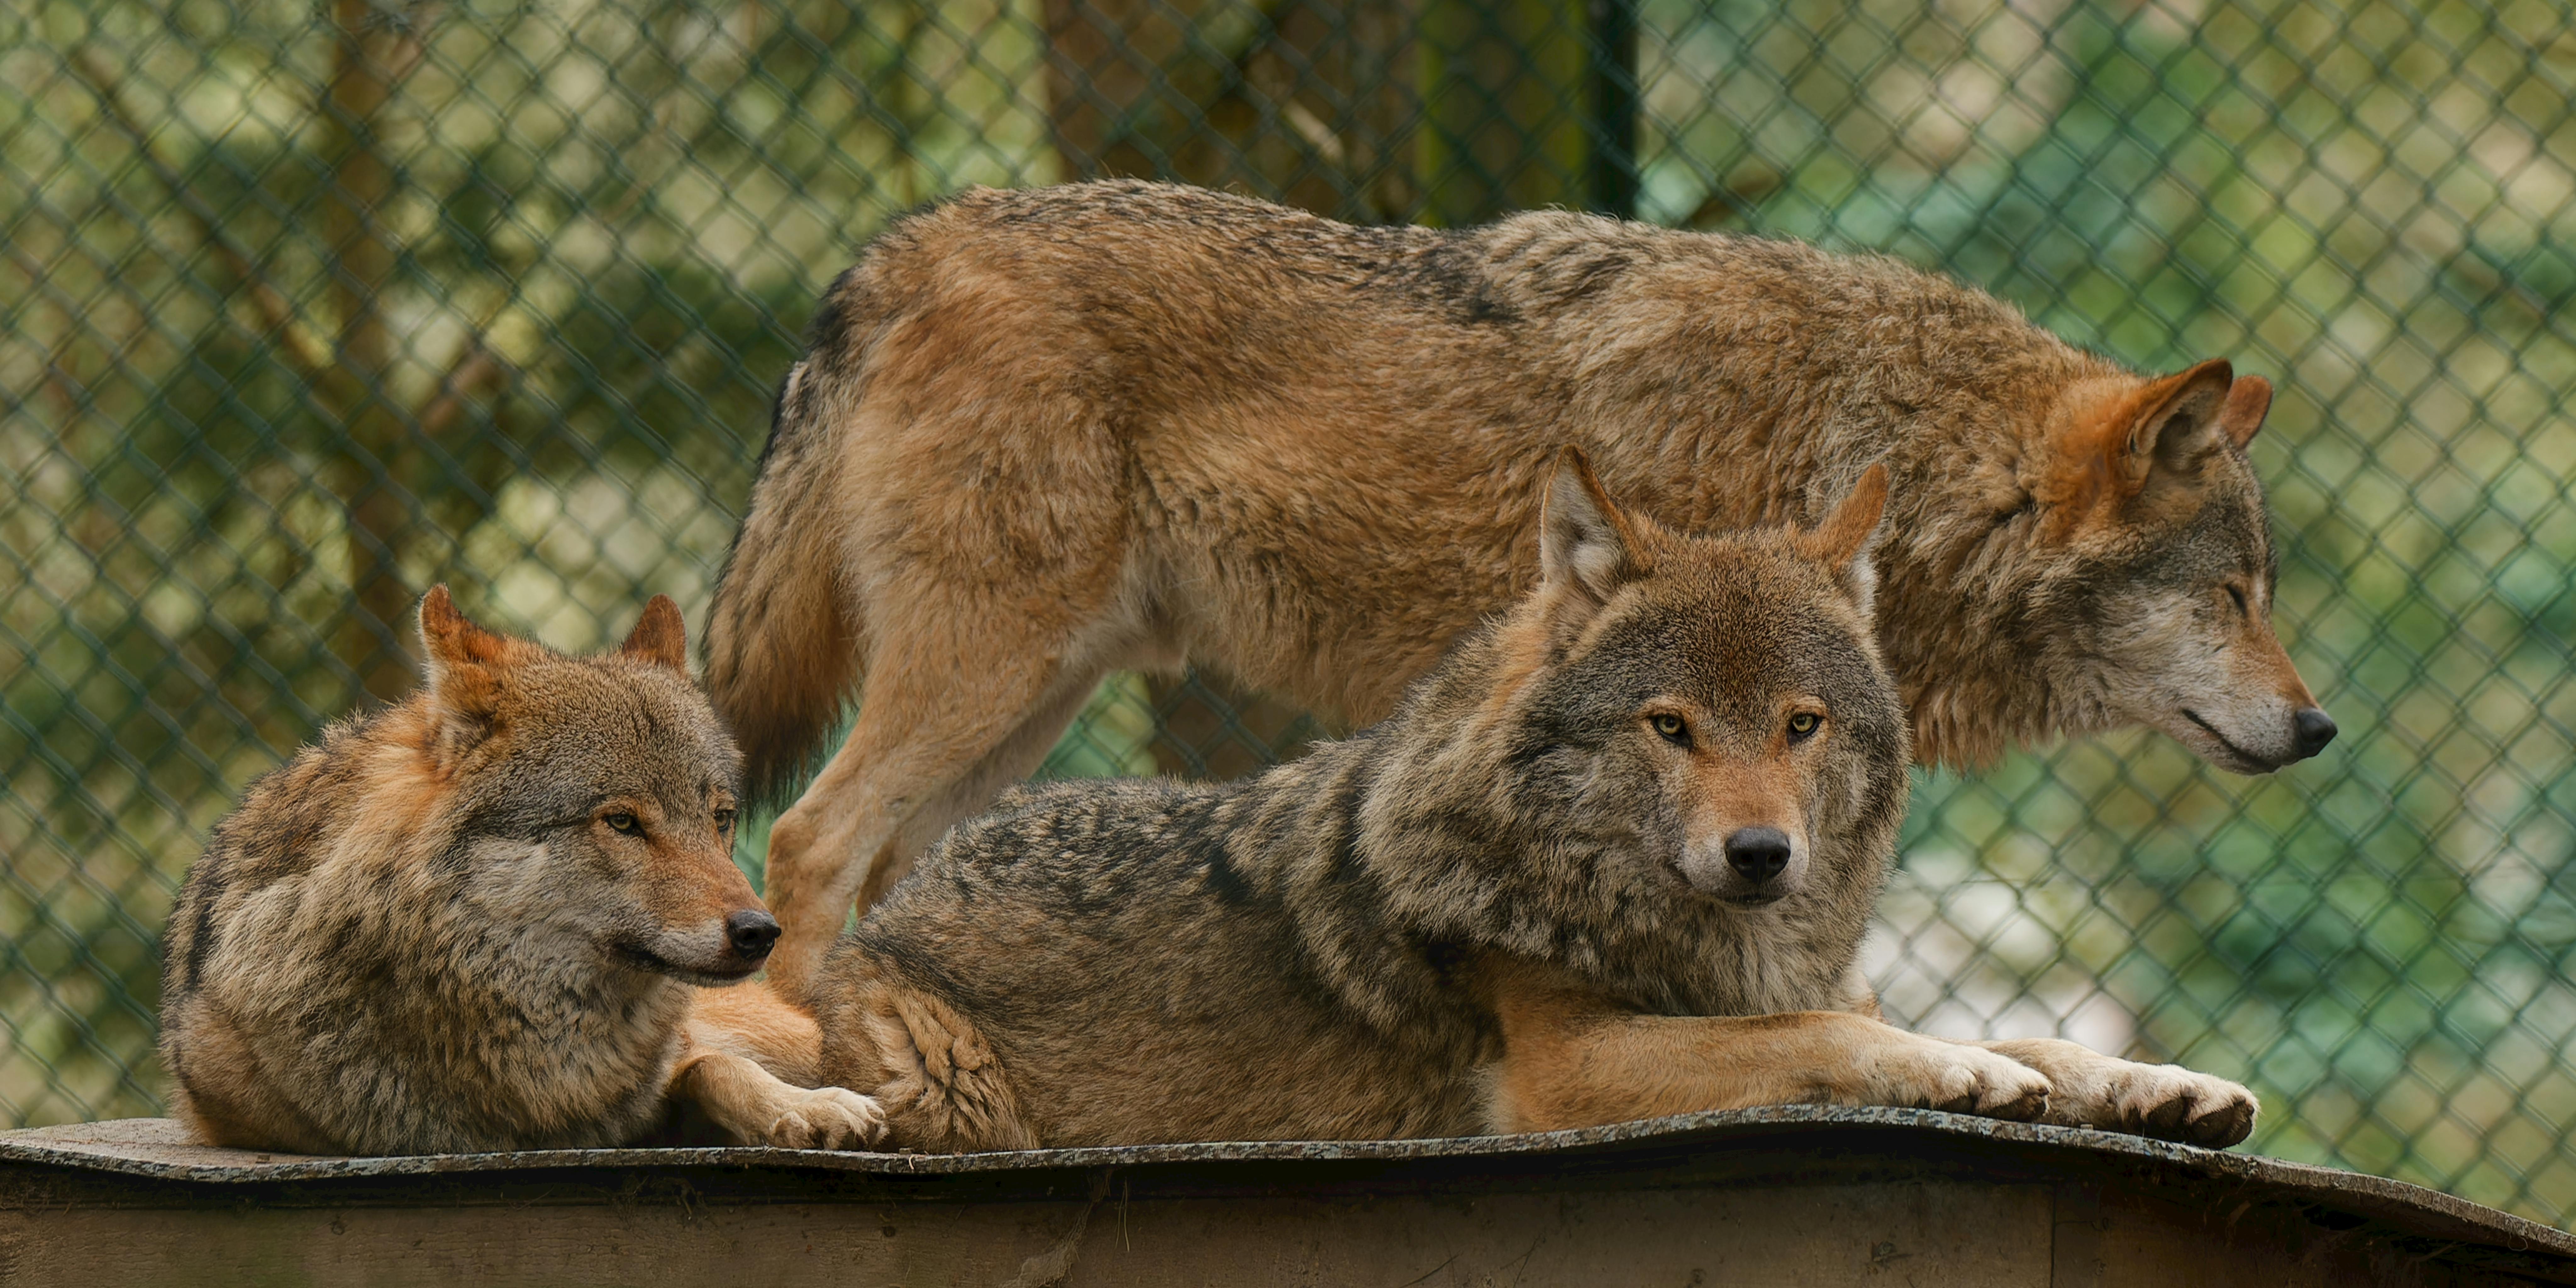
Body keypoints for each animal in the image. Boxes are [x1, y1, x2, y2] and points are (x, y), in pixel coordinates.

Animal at [158, 587, 884, 1156]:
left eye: (721, 817)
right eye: (622, 822)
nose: (760, 931)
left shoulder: (669, 1062)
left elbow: (715, 1067)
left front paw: (810, 1107)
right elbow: (708, 1070)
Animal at [703, 181, 2337, 992]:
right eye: (2234, 595)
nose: (2321, 730)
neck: (1870, 442)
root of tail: (895, 250)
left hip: (1026, 709)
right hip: (983, 672)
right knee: (803, 839)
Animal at [807, 453, 2257, 1152]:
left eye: (1800, 724)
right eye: (1669, 727)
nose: (1760, 853)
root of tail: (900, 900)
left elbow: (2019, 1033)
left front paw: (2149, 1081)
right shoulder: (1568, 1066)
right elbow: (1823, 1033)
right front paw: (1960, 1072)